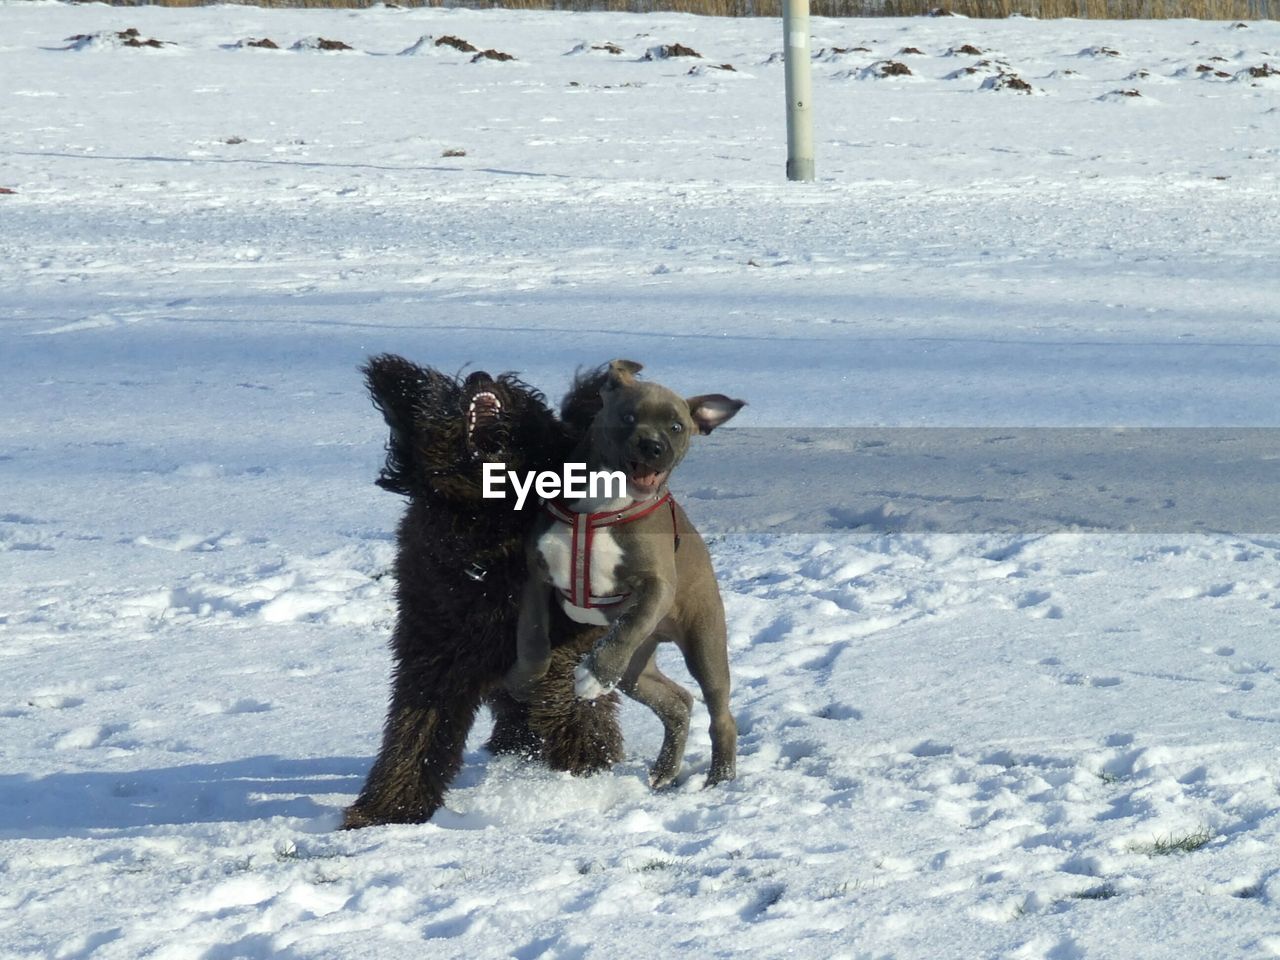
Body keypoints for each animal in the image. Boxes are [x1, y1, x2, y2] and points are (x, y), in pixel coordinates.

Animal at [340, 358, 619, 829]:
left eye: (518, 392)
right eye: (451, 396)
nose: (479, 378)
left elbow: (565, 682)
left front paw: (587, 766)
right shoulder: (433, 651)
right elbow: (415, 733)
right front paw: (388, 811)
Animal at [509, 360, 747, 788]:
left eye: (676, 427)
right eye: (628, 416)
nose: (652, 447)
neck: (604, 500)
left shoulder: (657, 585)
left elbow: (630, 622)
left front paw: (593, 674)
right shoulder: (537, 575)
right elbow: (532, 639)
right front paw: (524, 680)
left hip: (704, 643)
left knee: (720, 713)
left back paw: (720, 778)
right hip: (637, 668)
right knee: (677, 701)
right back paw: (664, 771)